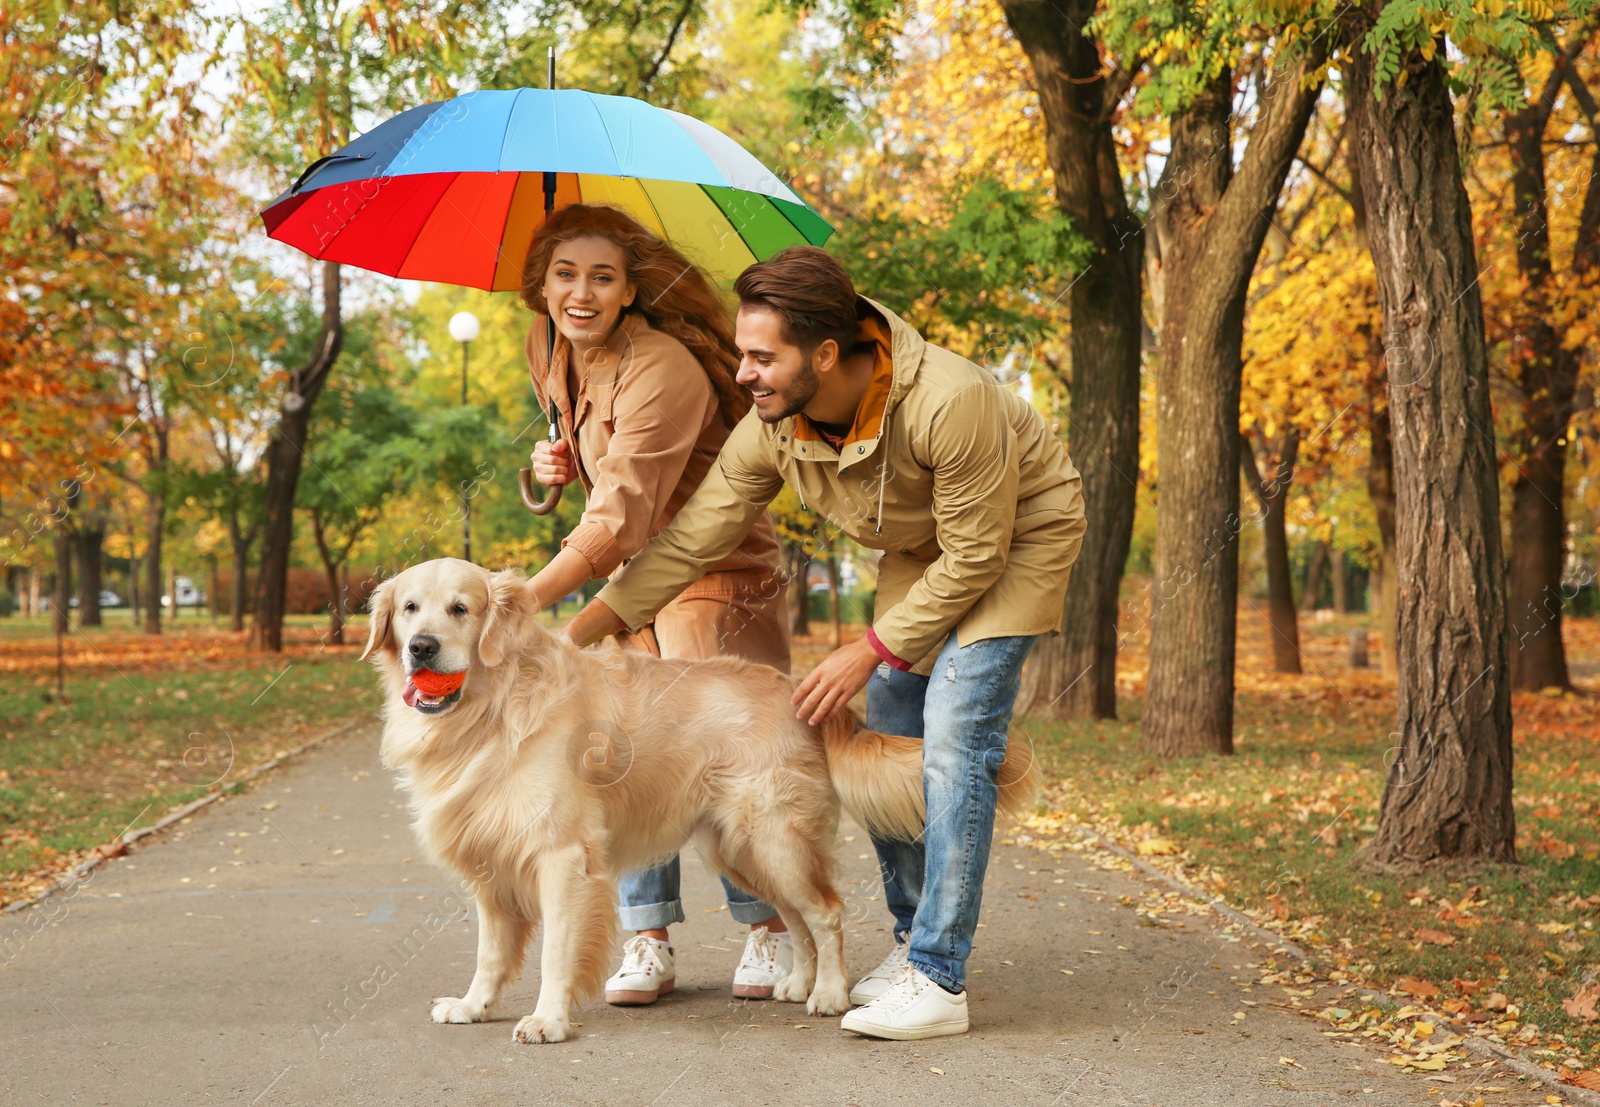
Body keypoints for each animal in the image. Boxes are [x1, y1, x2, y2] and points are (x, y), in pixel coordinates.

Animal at [360, 556, 1036, 1043]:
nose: (422, 646)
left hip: (774, 838)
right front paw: (473, 1005)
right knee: (796, 919)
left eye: (460, 609)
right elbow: (491, 951)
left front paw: (548, 1019)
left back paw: (828, 994)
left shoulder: (562, 857)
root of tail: (795, 689)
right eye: (409, 608)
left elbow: (555, 952)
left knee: (825, 913)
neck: (491, 712)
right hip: (737, 849)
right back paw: (798, 982)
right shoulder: (489, 861)